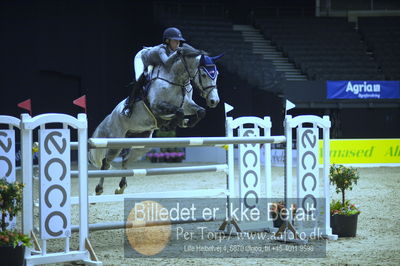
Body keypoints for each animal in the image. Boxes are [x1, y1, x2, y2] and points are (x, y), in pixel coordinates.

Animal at [89, 45, 223, 195]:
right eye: (204, 74)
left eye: (217, 74)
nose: (214, 101)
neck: (177, 80)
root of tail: (111, 116)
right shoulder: (156, 106)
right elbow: (179, 112)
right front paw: (172, 124)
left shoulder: (187, 104)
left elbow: (200, 111)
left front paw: (185, 122)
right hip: (116, 142)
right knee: (106, 162)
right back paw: (99, 189)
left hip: (140, 143)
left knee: (126, 160)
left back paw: (121, 187)